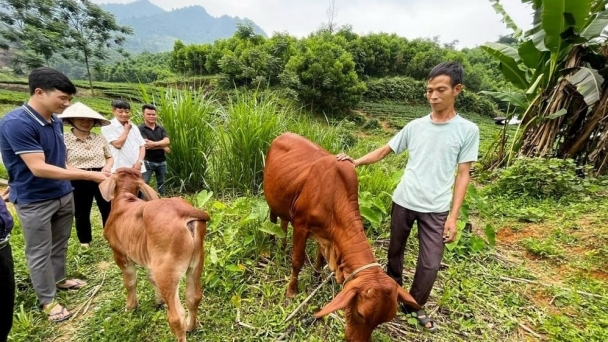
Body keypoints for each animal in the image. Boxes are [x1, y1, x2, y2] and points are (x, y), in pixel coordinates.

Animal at [100, 169, 211, 342]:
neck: (124, 198)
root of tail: (182, 210)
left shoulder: (120, 254)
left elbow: (130, 282)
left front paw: (130, 306)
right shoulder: (150, 261)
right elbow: (150, 278)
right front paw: (158, 301)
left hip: (167, 272)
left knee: (176, 317)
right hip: (196, 262)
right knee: (193, 297)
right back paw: (190, 326)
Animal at [264, 132, 420, 340]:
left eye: (382, 320)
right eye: (361, 314)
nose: (356, 341)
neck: (334, 197)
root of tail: (283, 134)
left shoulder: (326, 235)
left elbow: (321, 257)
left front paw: (317, 276)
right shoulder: (301, 225)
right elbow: (297, 260)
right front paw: (292, 292)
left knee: (282, 223)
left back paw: (282, 245)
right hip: (272, 200)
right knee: (273, 221)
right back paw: (273, 244)